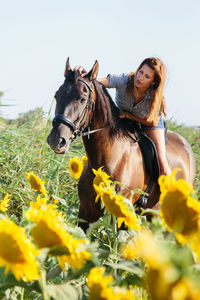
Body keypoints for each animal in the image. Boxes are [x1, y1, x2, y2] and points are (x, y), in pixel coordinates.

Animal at [47, 59, 196, 232]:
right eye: (57, 95)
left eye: (82, 98)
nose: (56, 140)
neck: (109, 158)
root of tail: (186, 146)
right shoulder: (85, 213)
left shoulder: (121, 219)